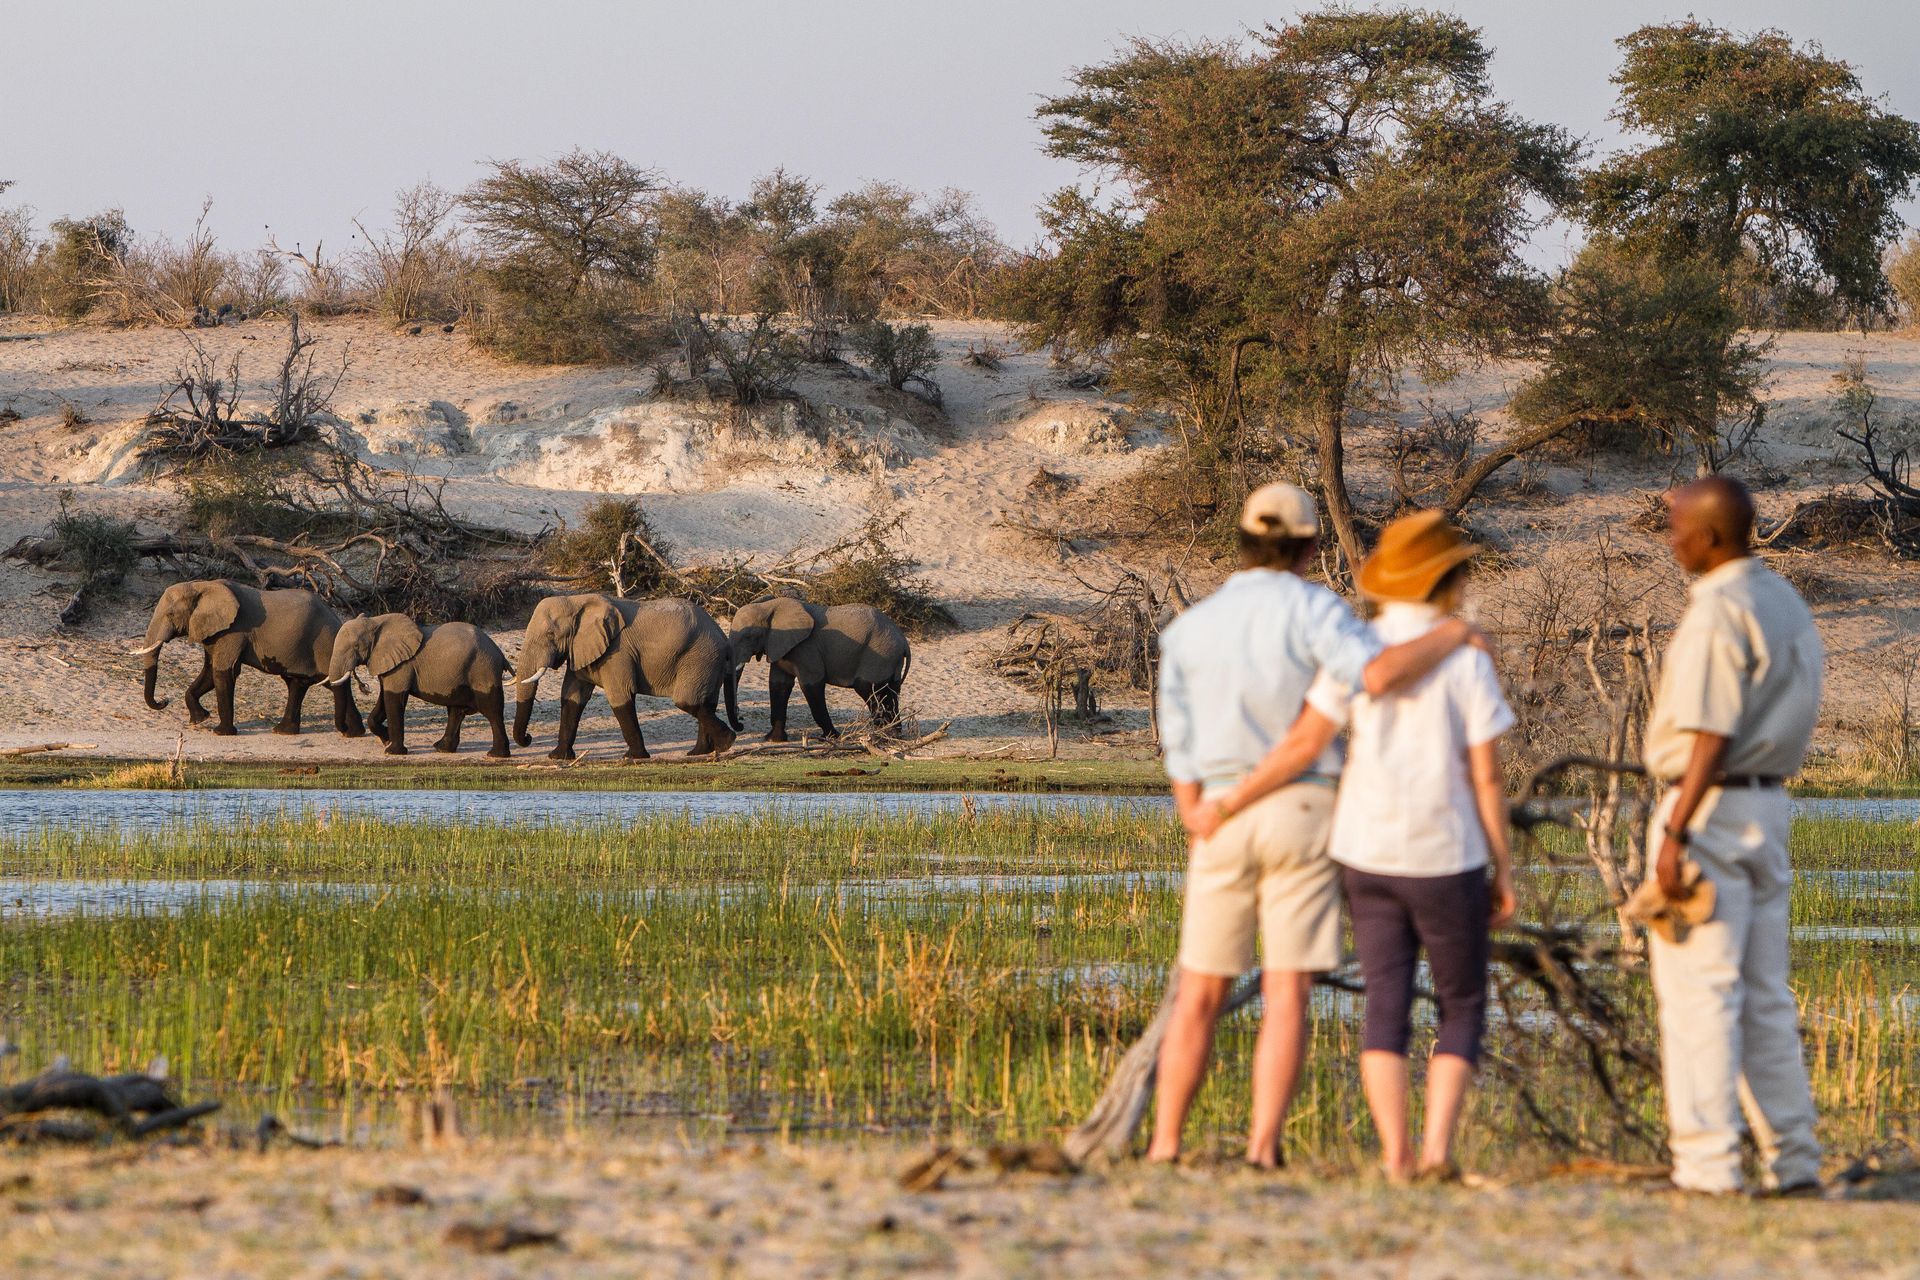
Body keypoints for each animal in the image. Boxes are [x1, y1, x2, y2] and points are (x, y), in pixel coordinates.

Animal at [133, 579, 365, 738]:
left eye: (170, 615)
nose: (164, 701)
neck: (202, 585)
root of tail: (338, 618)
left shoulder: (234, 631)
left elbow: (223, 672)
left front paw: (221, 733)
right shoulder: (215, 631)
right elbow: (209, 672)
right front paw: (200, 719)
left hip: (324, 643)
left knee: (328, 682)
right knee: (302, 683)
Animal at [325, 613, 512, 757]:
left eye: (356, 646)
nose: (346, 731)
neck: (376, 621)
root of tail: (500, 654)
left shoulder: (403, 665)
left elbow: (393, 700)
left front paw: (392, 751)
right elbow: (383, 699)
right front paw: (386, 740)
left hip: (483, 669)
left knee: (492, 711)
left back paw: (495, 755)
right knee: (456, 710)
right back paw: (442, 749)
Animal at [510, 594, 737, 761]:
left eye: (550, 634)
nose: (528, 738)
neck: (576, 600)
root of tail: (723, 638)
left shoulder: (618, 653)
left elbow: (620, 696)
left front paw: (633, 757)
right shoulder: (581, 649)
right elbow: (572, 697)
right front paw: (557, 757)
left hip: (700, 657)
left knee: (687, 701)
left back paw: (727, 743)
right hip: (708, 661)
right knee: (704, 702)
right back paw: (699, 752)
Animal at [728, 599, 910, 742]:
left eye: (748, 637)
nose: (741, 724)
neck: (768, 606)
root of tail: (904, 642)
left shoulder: (806, 649)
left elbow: (812, 684)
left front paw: (831, 737)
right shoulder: (780, 648)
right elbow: (779, 686)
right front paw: (773, 740)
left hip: (879, 657)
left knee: (870, 690)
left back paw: (881, 736)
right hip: (890, 660)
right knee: (889, 693)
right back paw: (894, 735)